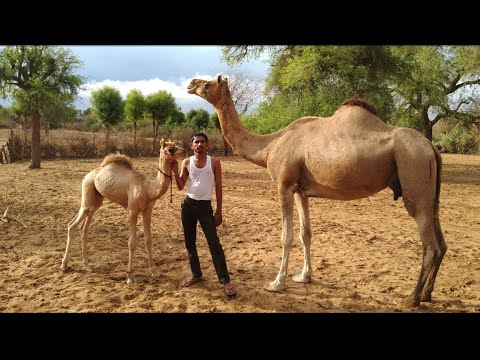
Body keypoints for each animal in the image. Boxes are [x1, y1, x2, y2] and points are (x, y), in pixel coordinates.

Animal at [187, 74, 446, 306]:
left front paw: (276, 283)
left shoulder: (283, 185)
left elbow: (286, 236)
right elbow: (306, 234)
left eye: (208, 84)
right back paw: (427, 294)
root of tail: (431, 147)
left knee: (430, 245)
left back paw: (412, 299)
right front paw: (304, 276)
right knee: (441, 242)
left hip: (414, 171)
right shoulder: (300, 191)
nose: (190, 84)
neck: (269, 146)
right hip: (431, 195)